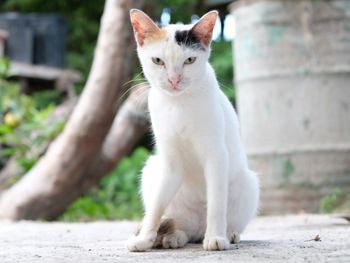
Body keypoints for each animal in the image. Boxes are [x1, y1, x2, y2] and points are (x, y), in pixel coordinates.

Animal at [127, 8, 258, 252]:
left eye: (189, 60)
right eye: (157, 61)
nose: (174, 80)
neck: (178, 104)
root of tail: (197, 228)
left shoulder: (216, 155)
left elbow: (216, 202)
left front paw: (216, 238)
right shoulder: (170, 162)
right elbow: (156, 206)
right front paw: (144, 239)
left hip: (249, 182)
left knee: (227, 218)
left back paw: (228, 233)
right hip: (152, 168)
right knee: (179, 225)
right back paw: (174, 237)